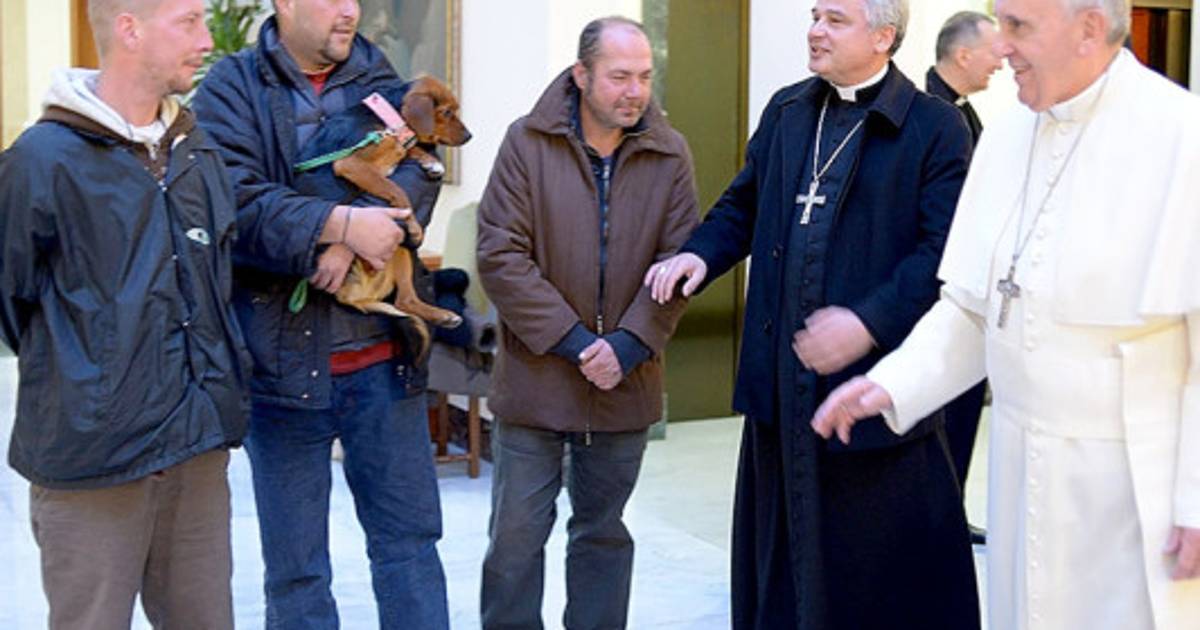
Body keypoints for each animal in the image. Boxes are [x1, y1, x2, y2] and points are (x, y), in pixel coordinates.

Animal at [294, 75, 472, 358]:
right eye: (446, 112)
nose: (469, 136)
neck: (390, 121)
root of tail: (353, 296)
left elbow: (407, 151)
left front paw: (429, 161)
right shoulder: (350, 164)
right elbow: (396, 189)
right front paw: (413, 222)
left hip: (400, 248)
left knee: (405, 300)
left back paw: (444, 316)